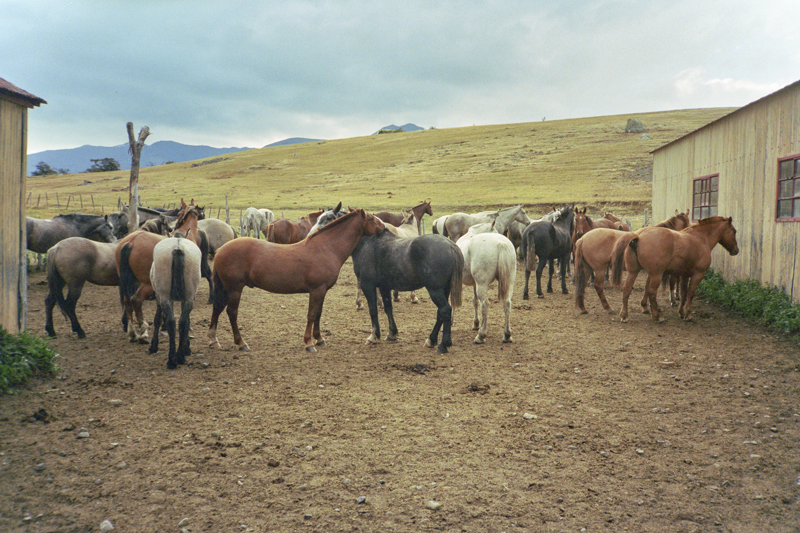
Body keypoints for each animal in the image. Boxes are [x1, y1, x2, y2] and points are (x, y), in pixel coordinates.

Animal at [116, 197, 205, 342]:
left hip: (126, 281)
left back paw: (132, 332)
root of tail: (130, 242)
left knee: (127, 302)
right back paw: (143, 330)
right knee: (136, 300)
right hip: (147, 284)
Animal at [148, 235, 203, 368]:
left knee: (171, 322)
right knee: (182, 322)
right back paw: (180, 357)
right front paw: (186, 348)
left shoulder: (159, 296)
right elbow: (187, 321)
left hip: (165, 296)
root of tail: (178, 246)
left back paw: (172, 359)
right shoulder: (187, 298)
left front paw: (153, 345)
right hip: (188, 297)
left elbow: (157, 319)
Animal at [208, 209, 386, 354]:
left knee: (217, 308)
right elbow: (312, 314)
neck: (326, 247)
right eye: (371, 218)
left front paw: (319, 339)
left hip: (225, 289)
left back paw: (213, 340)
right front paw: (309, 343)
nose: (384, 227)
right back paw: (241, 342)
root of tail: (221, 250)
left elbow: (319, 313)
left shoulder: (322, 291)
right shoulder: (316, 290)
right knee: (231, 312)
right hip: (235, 289)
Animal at [608, 214, 740, 322]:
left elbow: (683, 293)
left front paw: (681, 312)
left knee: (627, 289)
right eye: (734, 231)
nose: (736, 250)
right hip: (655, 275)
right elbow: (690, 293)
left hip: (633, 272)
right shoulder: (698, 274)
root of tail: (638, 236)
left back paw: (625, 315)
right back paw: (657, 316)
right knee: (651, 292)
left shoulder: (684, 274)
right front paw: (687, 314)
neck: (701, 238)